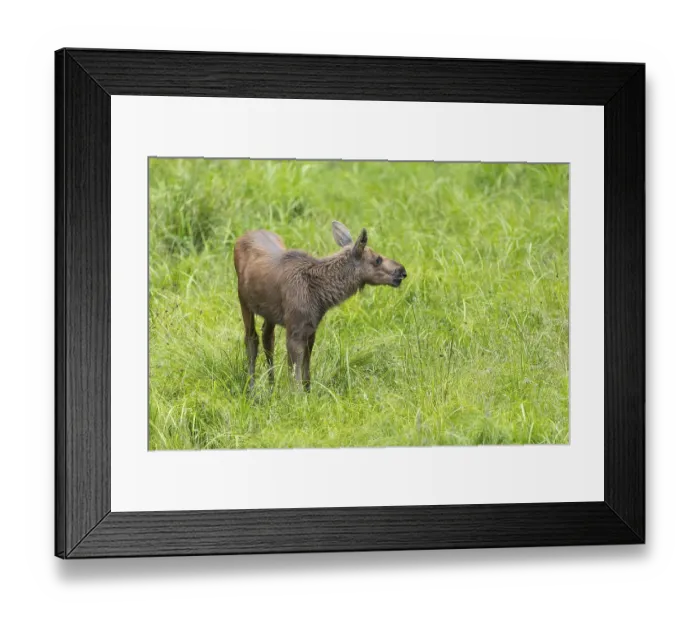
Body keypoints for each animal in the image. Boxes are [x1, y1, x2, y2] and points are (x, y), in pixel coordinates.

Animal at [233, 221, 407, 392]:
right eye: (378, 259)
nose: (402, 271)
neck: (319, 296)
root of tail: (242, 237)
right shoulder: (295, 330)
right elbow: (295, 377)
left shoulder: (311, 330)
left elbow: (306, 372)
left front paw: (308, 393)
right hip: (243, 300)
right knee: (251, 339)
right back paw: (251, 388)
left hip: (269, 313)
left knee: (268, 338)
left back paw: (271, 386)